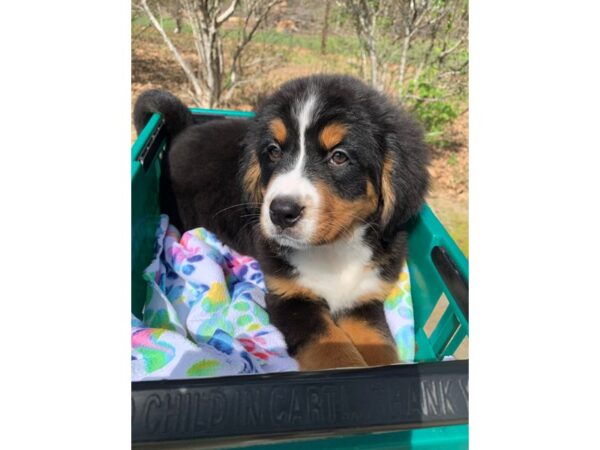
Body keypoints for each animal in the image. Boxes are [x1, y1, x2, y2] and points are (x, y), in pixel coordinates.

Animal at [134, 74, 428, 370]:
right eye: (273, 151)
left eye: (339, 156)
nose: (282, 212)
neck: (334, 249)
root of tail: (184, 129)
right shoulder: (290, 297)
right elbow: (335, 351)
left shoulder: (363, 297)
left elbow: (380, 347)